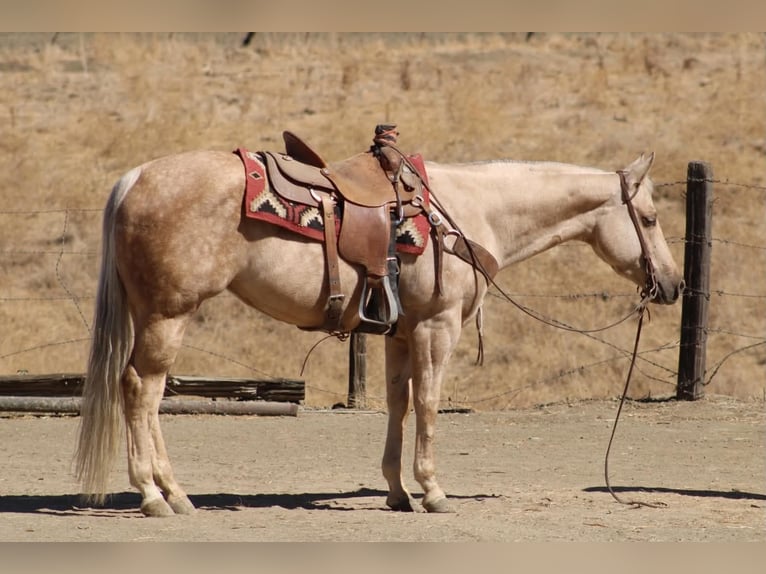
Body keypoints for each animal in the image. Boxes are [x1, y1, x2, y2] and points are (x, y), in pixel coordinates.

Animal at [74, 146, 683, 517]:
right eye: (650, 218)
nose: (674, 284)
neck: (470, 213)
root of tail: (135, 179)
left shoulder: (398, 332)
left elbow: (398, 404)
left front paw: (396, 491)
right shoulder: (437, 327)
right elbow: (430, 403)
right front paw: (433, 491)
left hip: (150, 314)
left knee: (145, 392)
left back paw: (172, 494)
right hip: (168, 315)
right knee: (142, 390)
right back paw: (157, 495)